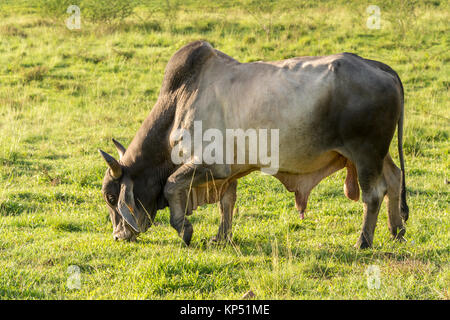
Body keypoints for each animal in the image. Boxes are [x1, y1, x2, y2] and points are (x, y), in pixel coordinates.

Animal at [98, 40, 408, 250]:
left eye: (112, 197)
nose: (118, 236)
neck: (180, 100)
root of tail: (379, 66)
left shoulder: (209, 165)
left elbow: (172, 184)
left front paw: (184, 230)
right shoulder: (227, 173)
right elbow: (226, 203)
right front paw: (220, 237)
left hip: (365, 153)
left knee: (373, 194)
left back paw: (363, 242)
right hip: (377, 154)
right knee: (395, 178)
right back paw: (396, 231)